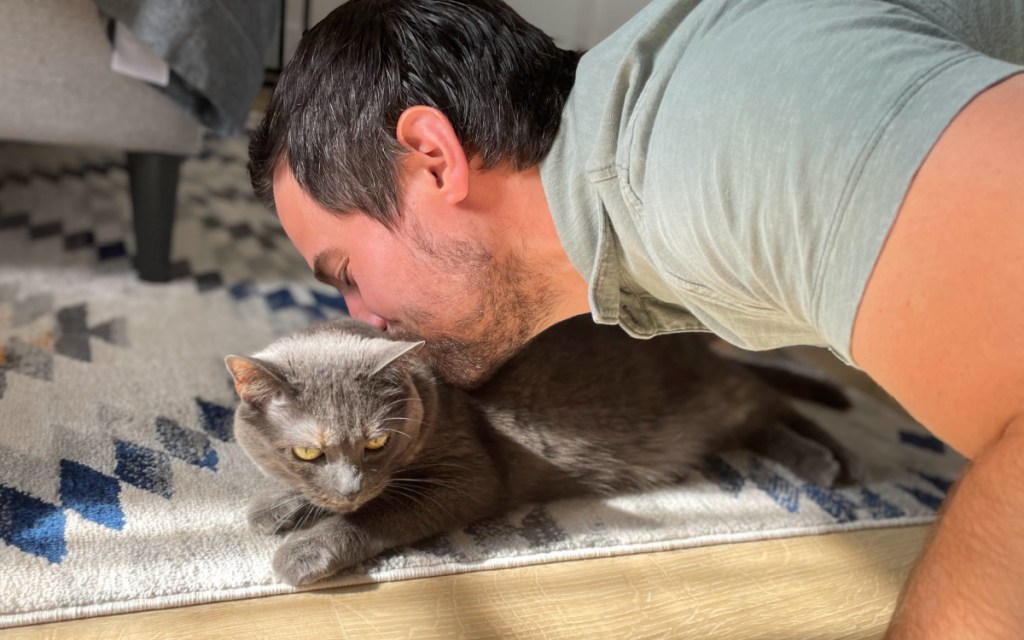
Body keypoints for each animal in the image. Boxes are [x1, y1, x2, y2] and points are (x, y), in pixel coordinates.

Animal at [226, 314, 861, 586]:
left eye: (377, 441)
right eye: (307, 454)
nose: (352, 484)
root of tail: (698, 346)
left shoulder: (470, 475)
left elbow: (384, 511)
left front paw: (304, 550)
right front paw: (276, 507)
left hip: (724, 397)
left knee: (777, 406)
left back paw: (833, 461)